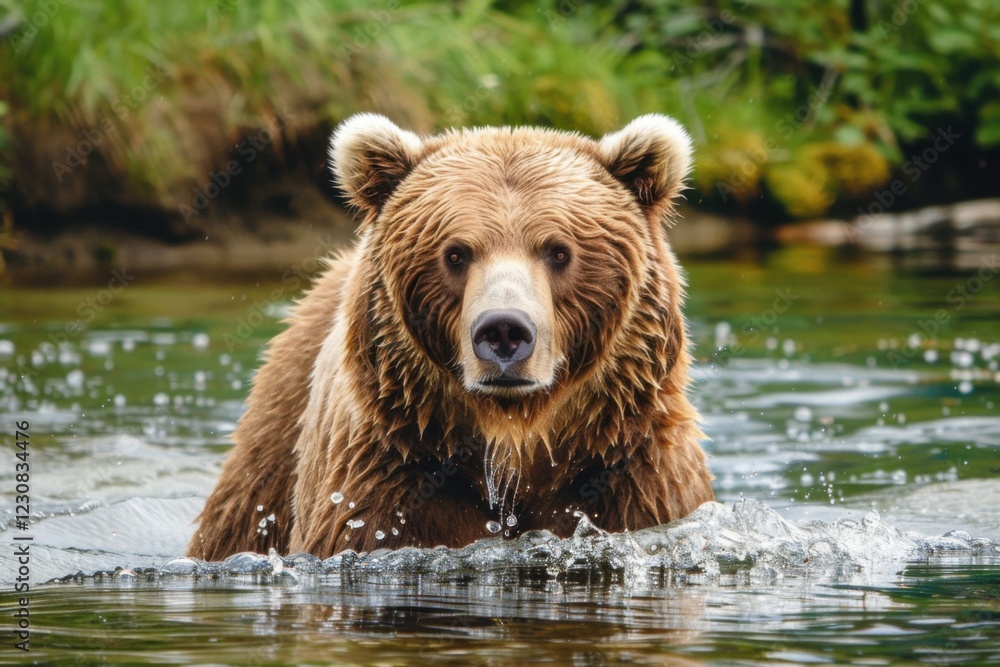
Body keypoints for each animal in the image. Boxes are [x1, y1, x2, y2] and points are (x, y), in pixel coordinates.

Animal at [187, 113, 715, 561]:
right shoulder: (388, 475)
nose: (504, 330)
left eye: (559, 251)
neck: (515, 446)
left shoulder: (631, 475)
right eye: (456, 253)